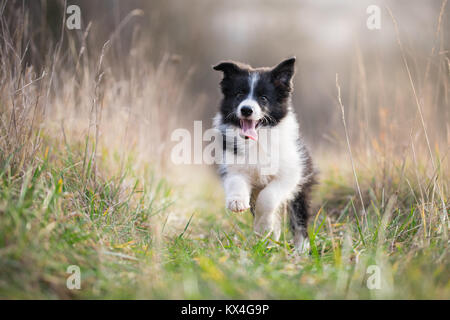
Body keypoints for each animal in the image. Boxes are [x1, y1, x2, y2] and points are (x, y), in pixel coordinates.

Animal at [212, 57, 314, 252]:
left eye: (263, 98)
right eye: (239, 94)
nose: (246, 109)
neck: (257, 141)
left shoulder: (291, 173)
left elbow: (268, 198)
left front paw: (263, 226)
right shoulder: (232, 164)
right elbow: (236, 180)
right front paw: (237, 202)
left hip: (301, 188)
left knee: (299, 219)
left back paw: (301, 248)